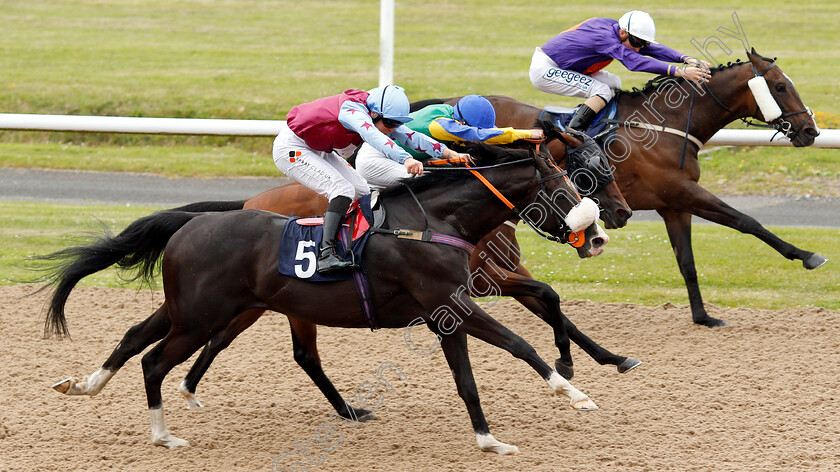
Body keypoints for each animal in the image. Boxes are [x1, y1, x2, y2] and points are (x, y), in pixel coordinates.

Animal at [42, 140, 604, 454]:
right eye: (565, 190)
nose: (597, 237)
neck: (434, 222)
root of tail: (191, 223)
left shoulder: (447, 314)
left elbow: (468, 381)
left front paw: (489, 440)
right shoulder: (454, 305)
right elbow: (519, 346)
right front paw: (575, 392)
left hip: (193, 309)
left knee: (136, 336)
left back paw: (85, 385)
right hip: (201, 316)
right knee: (154, 361)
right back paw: (163, 435)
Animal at [416, 48, 824, 328]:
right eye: (780, 86)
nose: (811, 131)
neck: (668, 123)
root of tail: (445, 103)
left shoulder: (673, 204)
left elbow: (687, 261)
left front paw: (703, 316)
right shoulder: (683, 192)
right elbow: (746, 221)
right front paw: (807, 255)